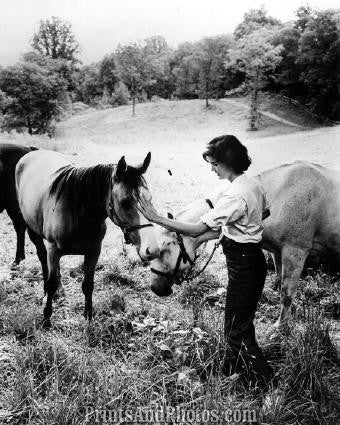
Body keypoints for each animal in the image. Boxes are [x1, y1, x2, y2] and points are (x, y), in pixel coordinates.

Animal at [15, 147, 159, 326]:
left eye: (149, 199)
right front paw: (46, 319)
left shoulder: (93, 251)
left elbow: (88, 285)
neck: (79, 213)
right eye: (125, 202)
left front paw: (88, 317)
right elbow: (51, 283)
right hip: (34, 233)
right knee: (43, 259)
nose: (152, 249)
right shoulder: (53, 250)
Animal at [147, 162, 340, 328]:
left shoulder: (295, 252)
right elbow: (281, 287)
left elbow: (286, 293)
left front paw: (281, 327)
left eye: (163, 250)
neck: (274, 196)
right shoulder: (278, 253)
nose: (155, 288)